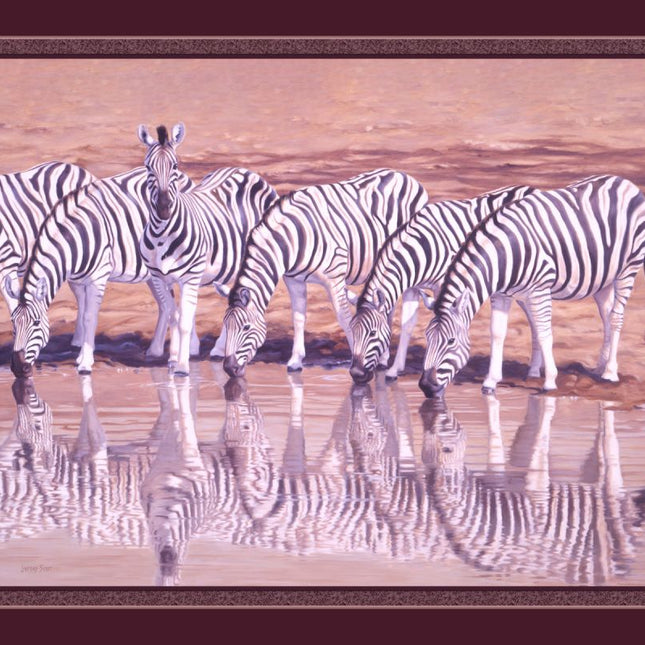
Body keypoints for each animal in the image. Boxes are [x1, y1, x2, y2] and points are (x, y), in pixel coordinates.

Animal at [8, 166, 196, 378]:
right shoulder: (78, 279)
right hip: (153, 274)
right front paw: (81, 356)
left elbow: (90, 317)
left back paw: (186, 352)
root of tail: (184, 176)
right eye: (13, 325)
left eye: (37, 323)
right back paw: (157, 351)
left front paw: (85, 364)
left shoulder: (97, 277)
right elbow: (82, 315)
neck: (74, 240)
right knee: (166, 307)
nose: (17, 367)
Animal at [137, 123, 279, 377]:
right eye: (147, 167)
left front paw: (182, 367)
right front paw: (173, 359)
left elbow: (183, 321)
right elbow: (173, 316)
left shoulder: (191, 276)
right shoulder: (159, 277)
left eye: (175, 166)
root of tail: (242, 169)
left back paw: (219, 349)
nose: (163, 208)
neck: (163, 233)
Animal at [221, 168, 430, 378]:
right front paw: (295, 361)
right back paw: (384, 357)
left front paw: (356, 358)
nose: (229, 368)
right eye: (226, 325)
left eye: (246, 327)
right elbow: (298, 317)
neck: (290, 241)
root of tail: (404, 175)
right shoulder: (294, 280)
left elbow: (345, 319)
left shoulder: (334, 278)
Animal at [349, 184, 535, 384]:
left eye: (372, 333)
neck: (420, 248)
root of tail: (530, 188)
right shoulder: (412, 287)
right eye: (352, 330)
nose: (356, 374)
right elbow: (407, 324)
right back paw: (534, 371)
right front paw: (394, 369)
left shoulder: (442, 286)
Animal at [418, 175, 645, 397]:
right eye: (427, 337)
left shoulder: (540, 289)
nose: (426, 387)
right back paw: (599, 367)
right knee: (606, 317)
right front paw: (490, 382)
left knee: (616, 317)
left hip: (628, 269)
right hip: (603, 279)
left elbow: (544, 333)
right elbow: (497, 332)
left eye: (451, 341)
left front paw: (550, 381)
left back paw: (610, 373)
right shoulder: (501, 294)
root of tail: (623, 181)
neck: (503, 254)